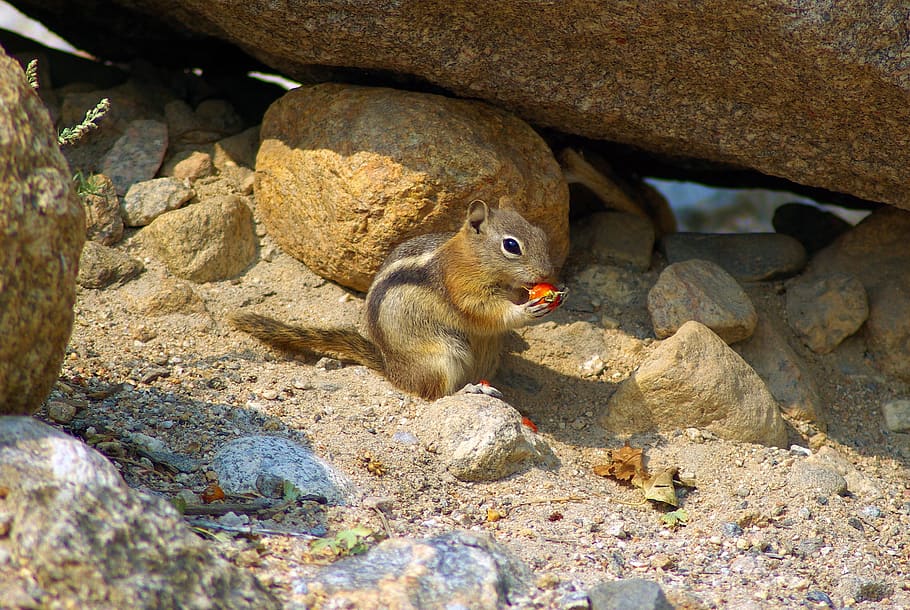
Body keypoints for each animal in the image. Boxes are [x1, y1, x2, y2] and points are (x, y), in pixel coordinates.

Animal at [230, 200, 564, 400]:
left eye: (540, 234)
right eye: (511, 246)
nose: (548, 272)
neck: (471, 257)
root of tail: (393, 371)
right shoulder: (461, 288)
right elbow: (485, 312)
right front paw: (528, 309)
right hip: (442, 358)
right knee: (437, 393)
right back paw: (469, 390)